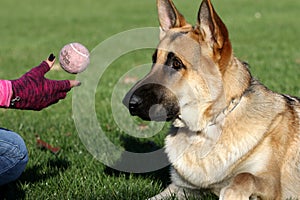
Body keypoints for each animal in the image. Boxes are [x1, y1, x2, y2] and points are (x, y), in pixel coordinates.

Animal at [123, 0, 300, 198]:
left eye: (176, 63)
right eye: (154, 61)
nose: (129, 103)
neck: (205, 130)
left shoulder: (272, 186)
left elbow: (243, 177)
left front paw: (230, 193)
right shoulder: (180, 189)